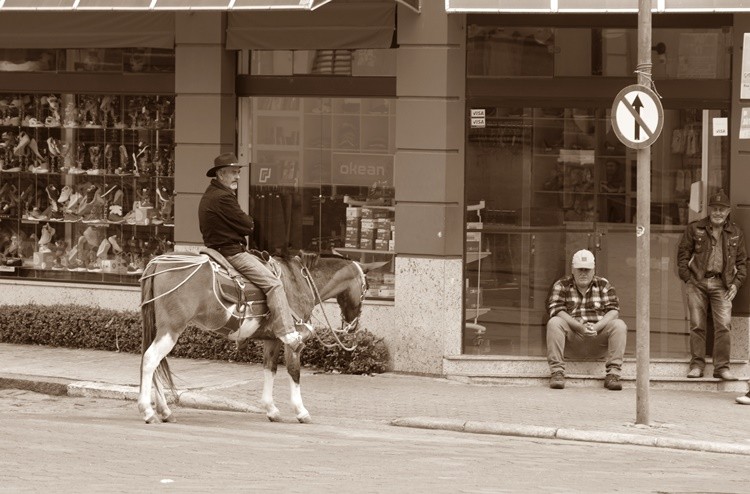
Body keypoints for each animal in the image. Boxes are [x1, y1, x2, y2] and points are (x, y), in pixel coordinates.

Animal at [137, 251, 382, 424]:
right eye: (366, 286)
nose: (352, 326)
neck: (300, 281)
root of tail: (157, 262)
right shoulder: (293, 340)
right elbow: (294, 372)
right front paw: (301, 411)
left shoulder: (272, 340)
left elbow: (269, 369)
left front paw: (271, 409)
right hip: (171, 328)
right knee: (150, 360)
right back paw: (148, 411)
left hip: (162, 328)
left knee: (156, 364)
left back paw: (165, 411)